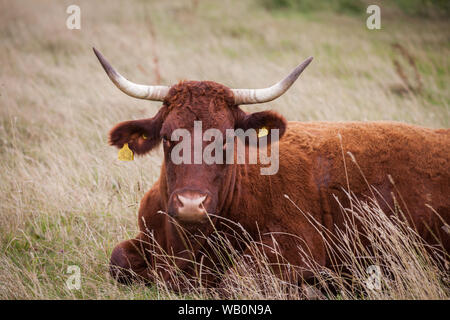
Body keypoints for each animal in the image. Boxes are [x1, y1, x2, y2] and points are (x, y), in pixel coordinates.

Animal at [92, 48, 450, 290]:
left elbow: (238, 279)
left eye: (227, 139)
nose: (191, 204)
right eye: (167, 138)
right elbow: (118, 259)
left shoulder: (297, 245)